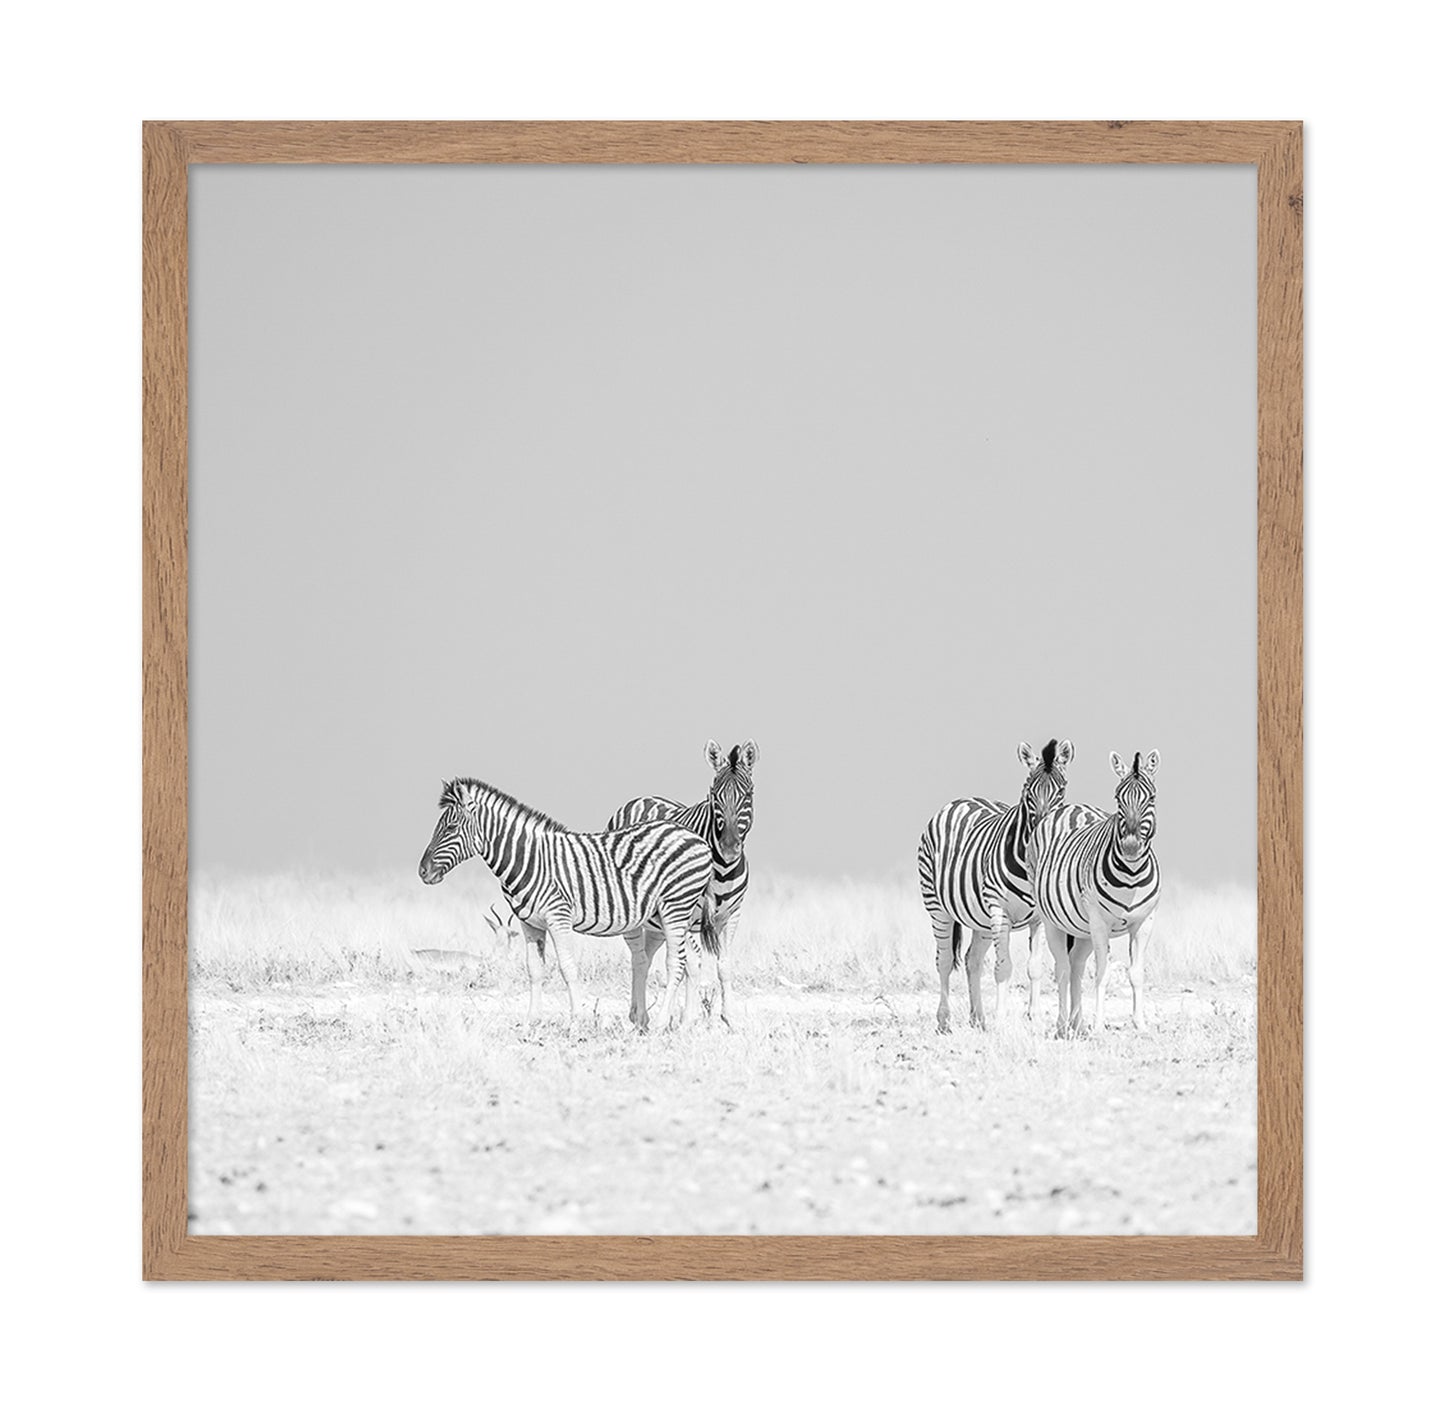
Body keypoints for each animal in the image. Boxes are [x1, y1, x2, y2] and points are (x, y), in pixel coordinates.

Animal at [417, 777, 714, 1031]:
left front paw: (575, 1022)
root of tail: (697, 838)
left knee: (676, 962)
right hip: (674, 915)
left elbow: (567, 968)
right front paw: (530, 1021)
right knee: (692, 961)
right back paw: (685, 1024)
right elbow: (535, 971)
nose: (422, 871)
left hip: (675, 906)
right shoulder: (529, 924)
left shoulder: (558, 918)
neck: (530, 860)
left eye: (450, 828)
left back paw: (661, 1024)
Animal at [606, 739, 757, 1028]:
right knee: (639, 957)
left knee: (648, 954)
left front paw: (730, 1018)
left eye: (748, 795)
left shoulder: (732, 915)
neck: (722, 869)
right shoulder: (686, 914)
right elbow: (692, 965)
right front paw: (688, 1020)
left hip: (657, 921)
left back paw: (639, 1014)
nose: (729, 848)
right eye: (714, 796)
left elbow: (724, 965)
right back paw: (640, 1017)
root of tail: (641, 798)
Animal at [917, 738, 1074, 1032]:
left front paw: (1034, 1016)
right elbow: (1003, 967)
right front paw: (1001, 1020)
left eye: (1061, 789)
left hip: (980, 918)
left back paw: (978, 1018)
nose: (1041, 832)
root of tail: (961, 800)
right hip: (938, 906)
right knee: (944, 961)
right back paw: (944, 1021)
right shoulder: (999, 910)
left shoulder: (1040, 917)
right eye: (1028, 790)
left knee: (972, 960)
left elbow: (1034, 967)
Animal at [1031, 749, 1162, 1035]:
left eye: (1152, 797)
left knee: (1076, 965)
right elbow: (1103, 973)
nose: (1131, 847)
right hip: (1053, 921)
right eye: (1117, 798)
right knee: (1063, 968)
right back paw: (1062, 1025)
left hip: (1083, 929)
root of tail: (1071, 807)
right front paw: (1100, 1025)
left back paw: (1078, 1024)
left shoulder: (1144, 922)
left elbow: (1136, 973)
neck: (1132, 875)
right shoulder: (1101, 923)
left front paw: (1140, 1023)